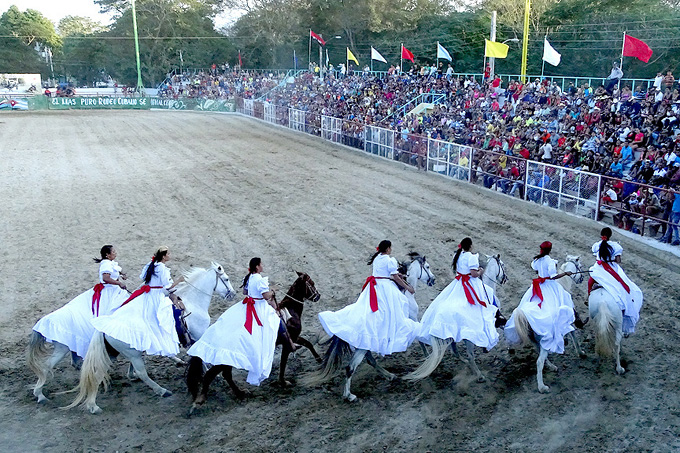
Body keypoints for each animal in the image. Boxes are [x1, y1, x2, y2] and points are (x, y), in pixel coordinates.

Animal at [63, 262, 235, 414]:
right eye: (226, 279)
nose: (232, 294)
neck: (192, 303)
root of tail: (103, 327)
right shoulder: (198, 335)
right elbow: (201, 355)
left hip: (112, 353)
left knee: (98, 373)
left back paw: (93, 405)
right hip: (133, 354)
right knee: (141, 373)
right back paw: (161, 390)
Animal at [185, 270, 320, 408]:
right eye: (312, 283)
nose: (318, 296)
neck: (290, 311)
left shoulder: (294, 338)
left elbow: (308, 343)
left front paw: (318, 359)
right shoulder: (288, 342)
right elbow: (283, 363)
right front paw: (283, 382)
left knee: (225, 374)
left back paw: (240, 393)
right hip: (223, 360)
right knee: (211, 375)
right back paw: (202, 399)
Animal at [402, 254, 508, 384]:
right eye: (502, 265)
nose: (505, 278)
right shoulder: (496, 319)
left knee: (455, 352)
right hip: (468, 338)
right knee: (470, 355)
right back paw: (479, 375)